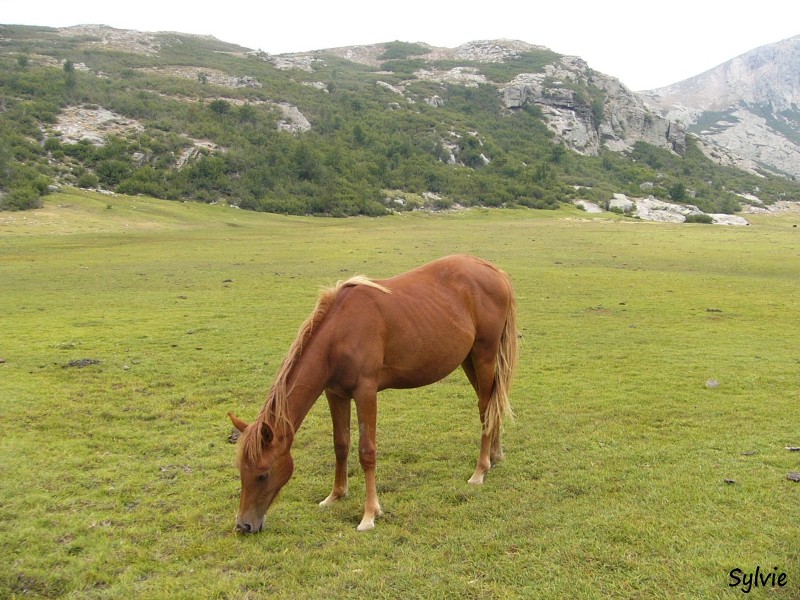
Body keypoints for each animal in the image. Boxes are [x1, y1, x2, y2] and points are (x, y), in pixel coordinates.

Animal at [228, 252, 520, 528]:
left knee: (486, 407)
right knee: (490, 404)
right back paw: (495, 455)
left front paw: (369, 514)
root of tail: (495, 272)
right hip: (469, 360)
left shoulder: (365, 392)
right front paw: (335, 495)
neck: (340, 334)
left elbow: (366, 452)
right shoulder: (335, 394)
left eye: (263, 473)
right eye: (241, 471)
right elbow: (341, 444)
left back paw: (480, 470)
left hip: (484, 356)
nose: (244, 525)